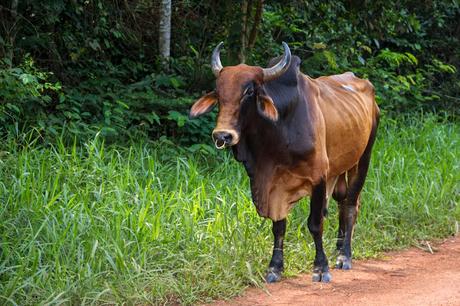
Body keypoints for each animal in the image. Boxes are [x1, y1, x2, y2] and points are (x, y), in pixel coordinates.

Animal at [189, 41, 380, 284]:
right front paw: (275, 268)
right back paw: (338, 249)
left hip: (363, 158)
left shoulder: (318, 177)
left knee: (351, 205)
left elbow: (315, 223)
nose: (223, 135)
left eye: (249, 91)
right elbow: (278, 226)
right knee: (341, 200)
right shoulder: (273, 184)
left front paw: (321, 267)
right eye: (219, 93)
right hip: (339, 168)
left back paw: (344, 255)